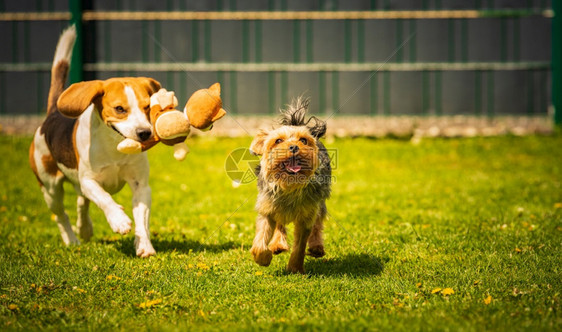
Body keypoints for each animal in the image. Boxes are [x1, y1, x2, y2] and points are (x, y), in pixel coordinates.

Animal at [29, 27, 160, 258]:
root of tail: (52, 113)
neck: (115, 145)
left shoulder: (141, 186)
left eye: (147, 107)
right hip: (50, 187)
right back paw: (72, 239)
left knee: (81, 202)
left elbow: (142, 219)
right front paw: (119, 220)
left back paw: (85, 229)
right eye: (119, 109)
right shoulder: (89, 181)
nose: (144, 133)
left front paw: (144, 245)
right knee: (61, 215)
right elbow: (104, 198)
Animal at [248, 97, 330, 274]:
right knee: (280, 222)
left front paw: (295, 268)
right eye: (278, 140)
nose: (294, 146)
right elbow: (260, 240)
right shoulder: (267, 207)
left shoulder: (307, 214)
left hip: (320, 201)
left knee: (318, 222)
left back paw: (316, 247)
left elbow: (300, 245)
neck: (289, 186)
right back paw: (277, 244)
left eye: (304, 140)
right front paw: (263, 258)